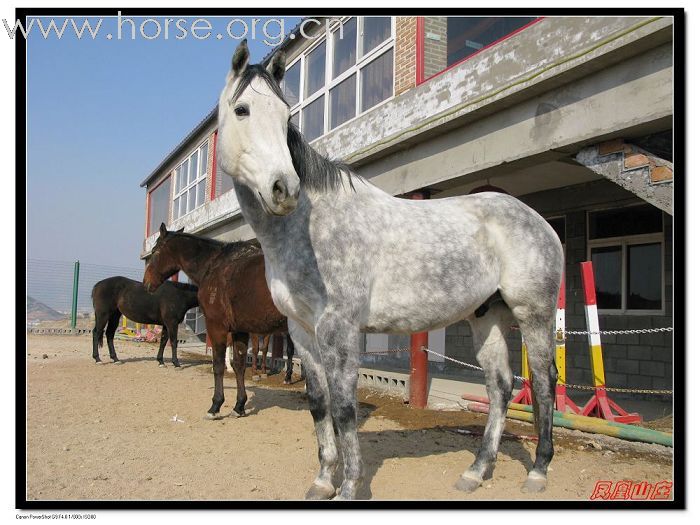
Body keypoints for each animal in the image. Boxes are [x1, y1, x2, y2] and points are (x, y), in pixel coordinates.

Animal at [142, 224, 296, 418]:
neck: (214, 265)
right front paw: (239, 406)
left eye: (155, 251)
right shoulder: (239, 330)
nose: (146, 284)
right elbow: (239, 365)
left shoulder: (217, 327)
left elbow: (218, 365)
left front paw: (215, 405)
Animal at [216, 41, 568, 500]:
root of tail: (540, 221)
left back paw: (539, 471)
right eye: (241, 110)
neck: (311, 224)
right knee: (500, 387)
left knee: (543, 383)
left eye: (285, 116)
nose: (284, 189)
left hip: (535, 313)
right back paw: (476, 471)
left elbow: (344, 409)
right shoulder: (301, 331)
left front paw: (349, 486)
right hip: (486, 316)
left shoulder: (339, 329)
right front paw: (322, 481)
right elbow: (319, 405)